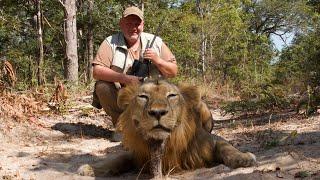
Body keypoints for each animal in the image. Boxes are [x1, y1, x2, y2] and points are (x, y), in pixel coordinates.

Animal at [79, 80, 256, 177]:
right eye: (143, 97)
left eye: (171, 95)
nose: (157, 112)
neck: (169, 142)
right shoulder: (137, 154)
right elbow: (117, 159)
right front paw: (90, 168)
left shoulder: (211, 140)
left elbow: (227, 147)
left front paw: (244, 158)